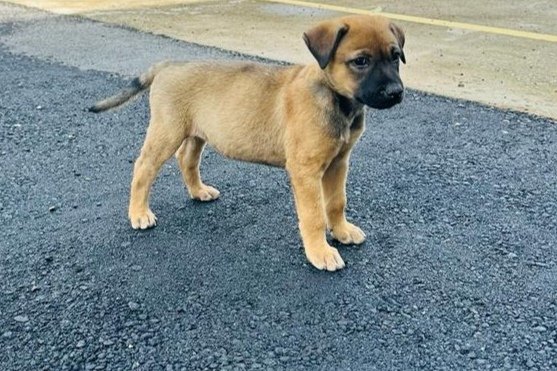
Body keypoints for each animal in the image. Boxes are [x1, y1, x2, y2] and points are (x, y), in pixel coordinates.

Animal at [90, 14, 404, 272]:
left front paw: (341, 232)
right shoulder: (306, 170)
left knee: (186, 159)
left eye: (395, 56)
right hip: (167, 131)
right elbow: (314, 214)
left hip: (197, 132)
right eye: (361, 61)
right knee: (143, 168)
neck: (335, 97)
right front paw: (320, 252)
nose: (396, 92)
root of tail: (169, 65)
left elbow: (337, 202)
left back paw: (198, 192)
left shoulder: (339, 163)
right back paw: (139, 213)